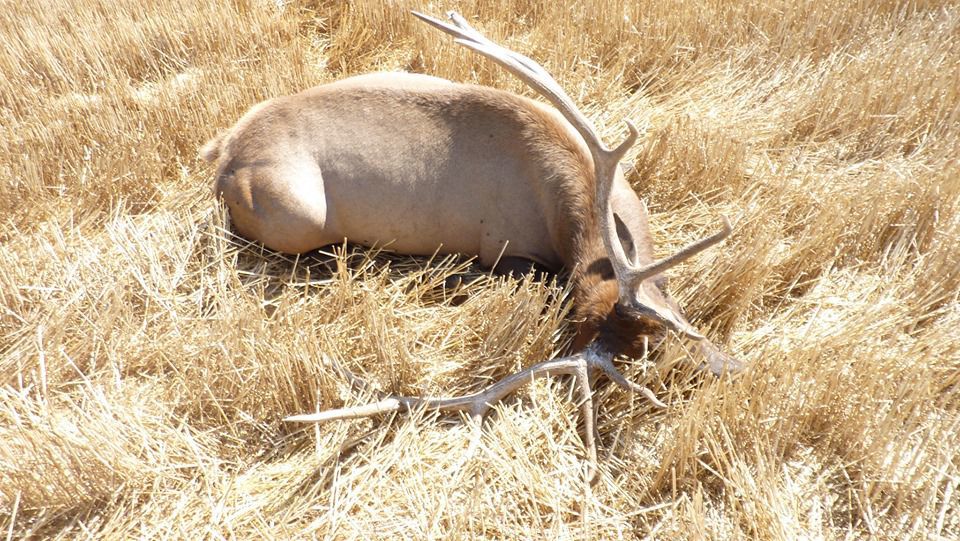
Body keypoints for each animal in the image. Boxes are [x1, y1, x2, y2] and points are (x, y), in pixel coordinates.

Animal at [200, 11, 742, 477]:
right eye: (652, 351)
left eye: (673, 325)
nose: (730, 367)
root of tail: (222, 152)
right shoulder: (504, 250)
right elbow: (543, 281)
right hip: (300, 214)